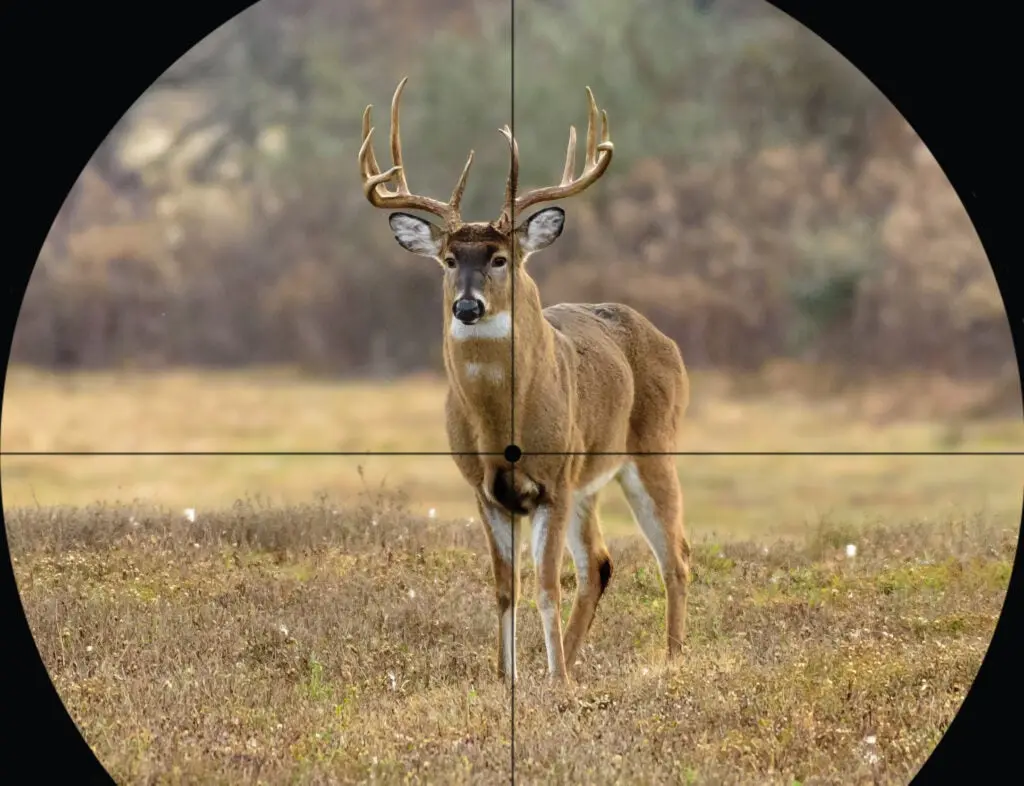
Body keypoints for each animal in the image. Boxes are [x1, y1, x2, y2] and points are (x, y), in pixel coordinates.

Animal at [356, 76, 692, 683]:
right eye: (448, 260)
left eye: (500, 258)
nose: (467, 306)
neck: (501, 424)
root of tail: (666, 341)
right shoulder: (484, 489)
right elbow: (504, 588)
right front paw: (507, 676)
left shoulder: (552, 482)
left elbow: (543, 585)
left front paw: (555, 682)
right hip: (589, 478)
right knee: (600, 563)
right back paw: (578, 660)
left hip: (653, 445)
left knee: (674, 555)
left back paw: (671, 659)